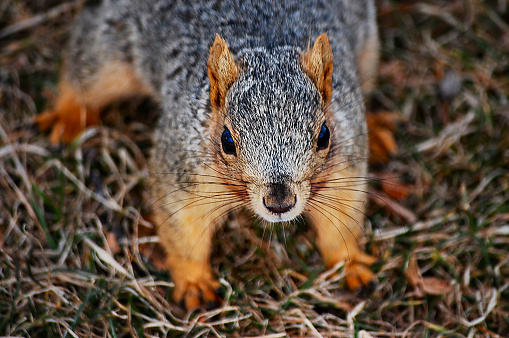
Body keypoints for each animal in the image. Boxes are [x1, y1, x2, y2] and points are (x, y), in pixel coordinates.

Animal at [35, 0, 380, 312]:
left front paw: (350, 263)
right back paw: (67, 119)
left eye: (324, 136)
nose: (279, 203)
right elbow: (185, 232)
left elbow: (341, 220)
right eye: (227, 141)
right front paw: (195, 284)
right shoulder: (183, 173)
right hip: (113, 44)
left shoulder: (344, 168)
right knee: (85, 70)